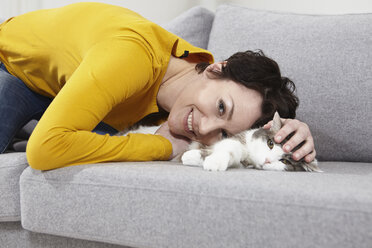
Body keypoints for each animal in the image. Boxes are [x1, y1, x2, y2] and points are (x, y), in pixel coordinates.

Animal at [179, 112, 320, 172]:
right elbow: (228, 148)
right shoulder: (236, 140)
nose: (267, 160)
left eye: (285, 161)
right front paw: (193, 156)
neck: (249, 159)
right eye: (270, 143)